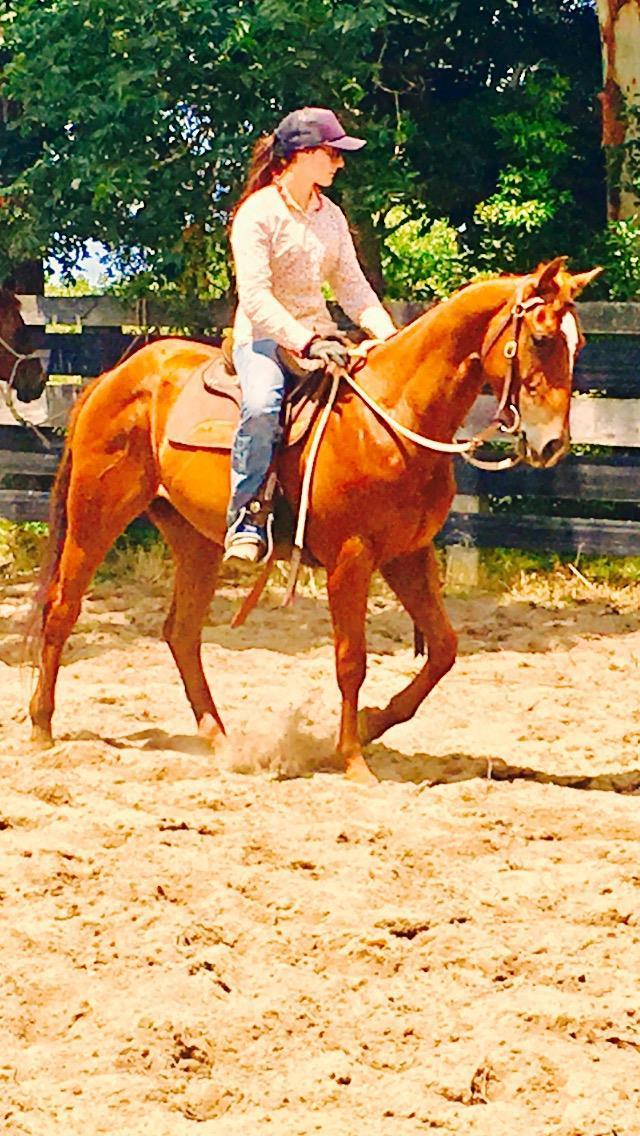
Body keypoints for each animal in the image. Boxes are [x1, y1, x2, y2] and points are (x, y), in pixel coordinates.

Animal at [27, 258, 600, 783]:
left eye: (579, 345)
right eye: (542, 338)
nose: (552, 443)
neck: (392, 419)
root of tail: (113, 377)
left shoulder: (408, 555)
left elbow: (443, 649)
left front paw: (370, 724)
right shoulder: (352, 559)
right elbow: (352, 660)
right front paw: (353, 761)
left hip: (195, 541)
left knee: (181, 633)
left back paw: (222, 743)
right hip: (96, 514)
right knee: (62, 610)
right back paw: (41, 728)